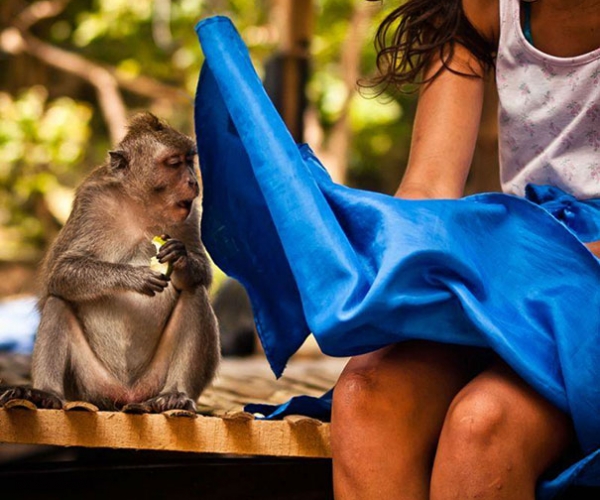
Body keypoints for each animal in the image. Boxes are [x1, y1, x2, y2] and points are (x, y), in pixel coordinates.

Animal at [0, 113, 220, 414]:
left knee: (194, 293)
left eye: (189, 160)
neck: (140, 205)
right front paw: (132, 276)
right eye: (174, 163)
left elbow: (203, 276)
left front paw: (181, 257)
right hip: (90, 384)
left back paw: (175, 393)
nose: (193, 182)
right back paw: (44, 393)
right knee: (59, 302)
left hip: (153, 380)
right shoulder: (92, 202)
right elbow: (61, 272)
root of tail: (126, 396)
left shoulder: (190, 214)